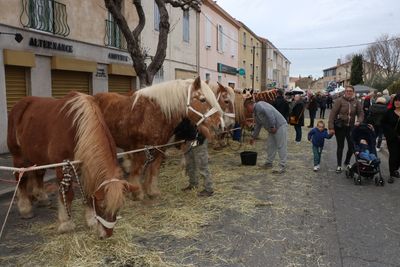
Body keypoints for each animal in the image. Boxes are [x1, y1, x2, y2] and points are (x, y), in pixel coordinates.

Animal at [6, 92, 136, 239]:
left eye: (119, 206)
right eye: (102, 206)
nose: (106, 235)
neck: (77, 129)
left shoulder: (84, 168)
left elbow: (87, 192)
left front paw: (90, 220)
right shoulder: (62, 167)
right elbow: (68, 194)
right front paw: (66, 224)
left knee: (39, 174)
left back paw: (42, 198)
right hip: (18, 156)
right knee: (21, 179)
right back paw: (25, 209)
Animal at [95, 76, 223, 200]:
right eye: (203, 99)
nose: (220, 124)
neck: (151, 115)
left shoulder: (159, 149)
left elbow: (153, 170)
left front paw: (152, 192)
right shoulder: (140, 149)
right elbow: (137, 170)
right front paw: (137, 193)